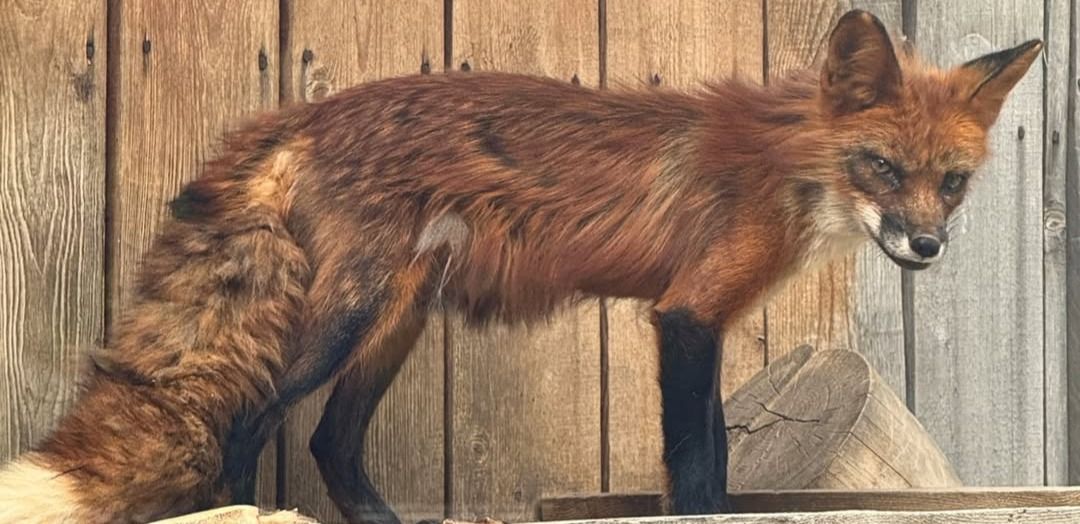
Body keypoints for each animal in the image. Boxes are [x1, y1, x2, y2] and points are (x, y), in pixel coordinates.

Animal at [0, 9, 1040, 524]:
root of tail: (312, 109)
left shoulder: (699, 316)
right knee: (251, 423)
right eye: (885, 169)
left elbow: (706, 450)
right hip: (343, 318)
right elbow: (696, 464)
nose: (926, 247)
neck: (788, 168)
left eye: (951, 183)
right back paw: (243, 511)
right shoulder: (688, 314)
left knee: (332, 443)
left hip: (398, 316)